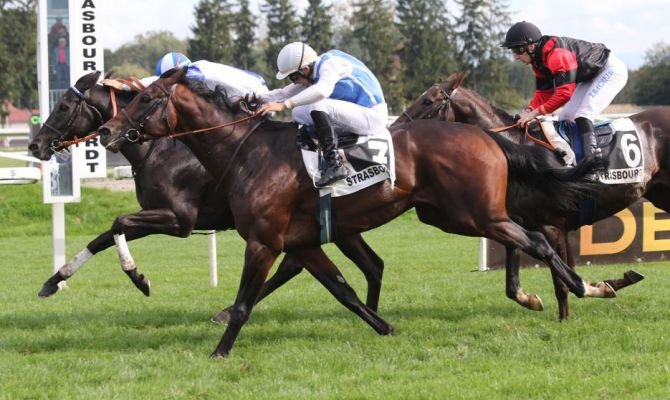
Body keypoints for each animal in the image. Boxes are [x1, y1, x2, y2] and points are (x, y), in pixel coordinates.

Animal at [28, 71, 387, 315]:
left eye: (63, 106)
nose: (35, 145)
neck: (159, 150)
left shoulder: (179, 219)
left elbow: (118, 223)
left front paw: (138, 278)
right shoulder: (159, 215)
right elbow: (102, 237)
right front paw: (54, 280)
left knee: (302, 265)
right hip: (340, 224)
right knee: (370, 265)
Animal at [97, 67, 614, 357]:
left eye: (146, 99)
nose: (107, 132)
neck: (246, 152)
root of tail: (487, 135)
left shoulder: (264, 240)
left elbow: (245, 302)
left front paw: (220, 352)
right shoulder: (303, 242)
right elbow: (343, 290)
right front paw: (384, 325)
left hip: (473, 216)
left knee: (538, 241)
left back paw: (586, 286)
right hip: (454, 215)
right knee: (534, 239)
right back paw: (580, 288)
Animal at [392, 72, 649, 319]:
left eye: (428, 100)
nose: (396, 127)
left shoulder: (551, 226)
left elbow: (560, 282)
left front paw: (566, 316)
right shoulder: (517, 221)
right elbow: (519, 278)